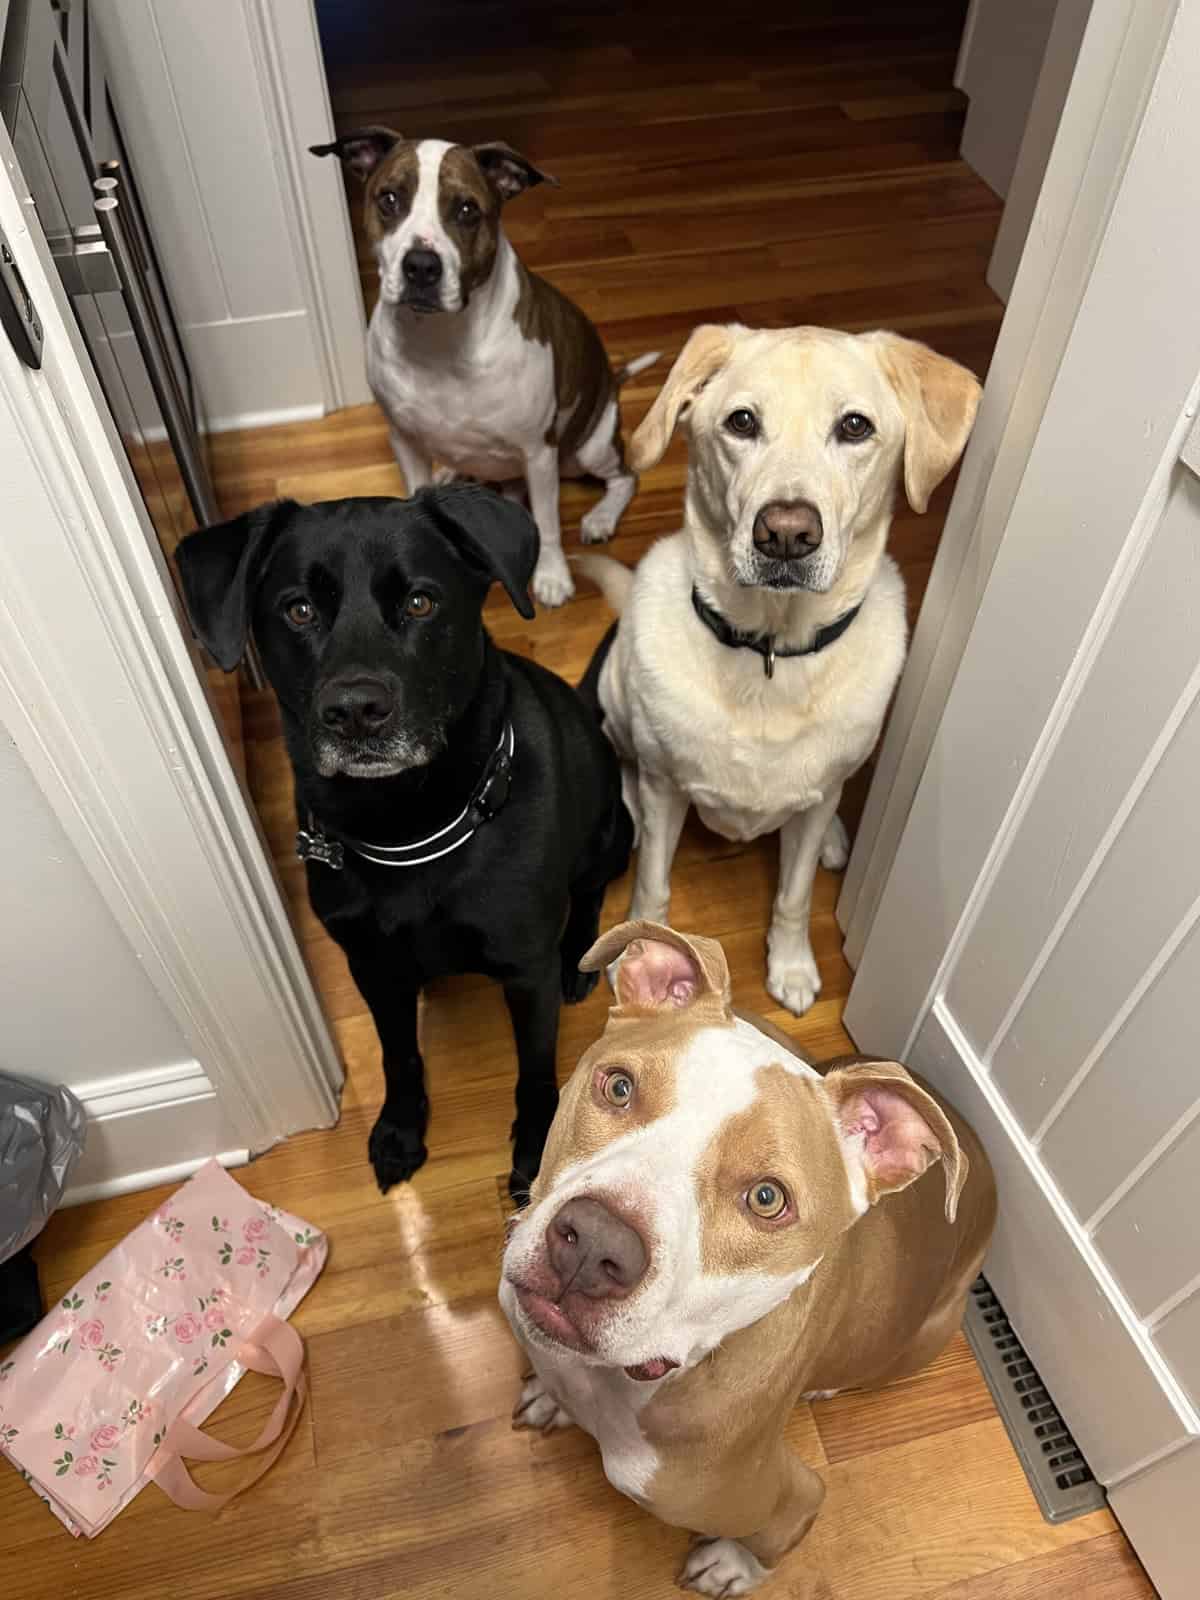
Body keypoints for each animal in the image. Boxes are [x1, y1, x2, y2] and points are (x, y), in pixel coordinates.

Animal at [312, 126, 659, 604]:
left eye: (466, 210)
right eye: (389, 199)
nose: (421, 266)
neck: (438, 340)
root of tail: (612, 382)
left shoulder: (538, 452)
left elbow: (548, 523)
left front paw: (553, 577)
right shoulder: (403, 440)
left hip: (589, 447)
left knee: (624, 477)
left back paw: (602, 517)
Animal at [499, 921, 998, 1593]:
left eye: (767, 1199)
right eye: (619, 1087)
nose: (596, 1242)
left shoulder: (787, 1495)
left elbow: (776, 1537)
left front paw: (731, 1566)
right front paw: (551, 1395)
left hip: (927, 1335)